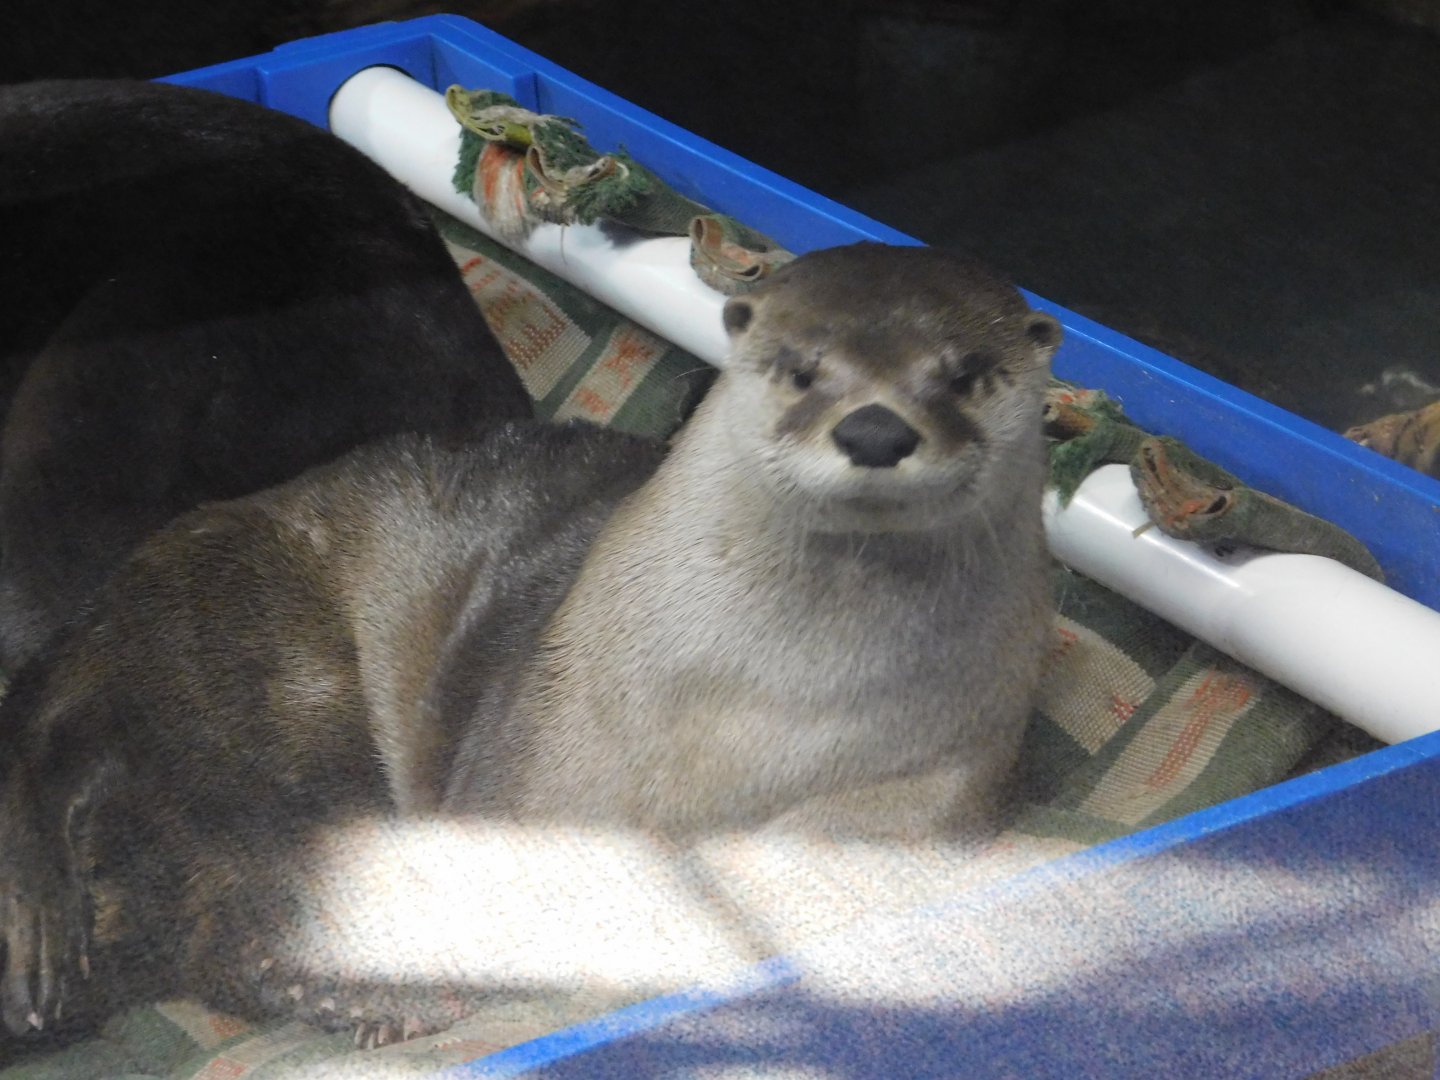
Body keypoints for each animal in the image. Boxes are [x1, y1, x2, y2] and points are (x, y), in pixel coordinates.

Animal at [0, 243, 1059, 1047]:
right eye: (800, 366)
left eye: (966, 373)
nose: (875, 429)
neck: (765, 721)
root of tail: (82, 639)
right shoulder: (550, 756)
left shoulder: (939, 781)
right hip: (254, 677)